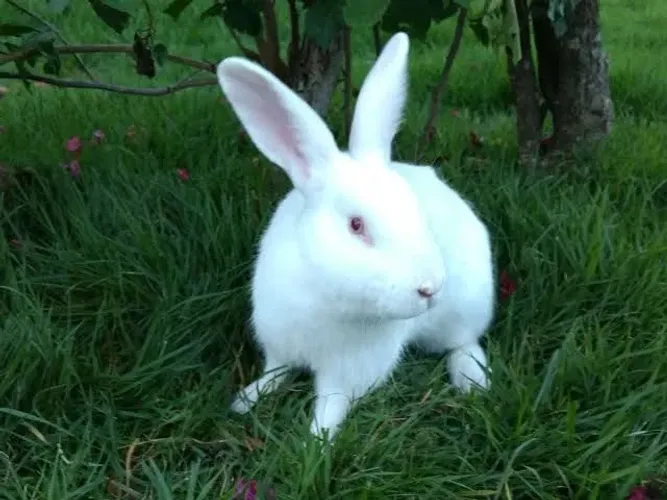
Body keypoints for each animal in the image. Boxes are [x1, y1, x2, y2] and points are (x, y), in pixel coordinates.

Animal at [216, 31, 495, 442]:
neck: (324, 295)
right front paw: (245, 400)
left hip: (466, 307)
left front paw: (314, 443)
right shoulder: (279, 345)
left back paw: (472, 381)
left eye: (415, 210)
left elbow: (331, 406)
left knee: (464, 342)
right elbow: (274, 373)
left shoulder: (348, 374)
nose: (430, 288)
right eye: (356, 226)